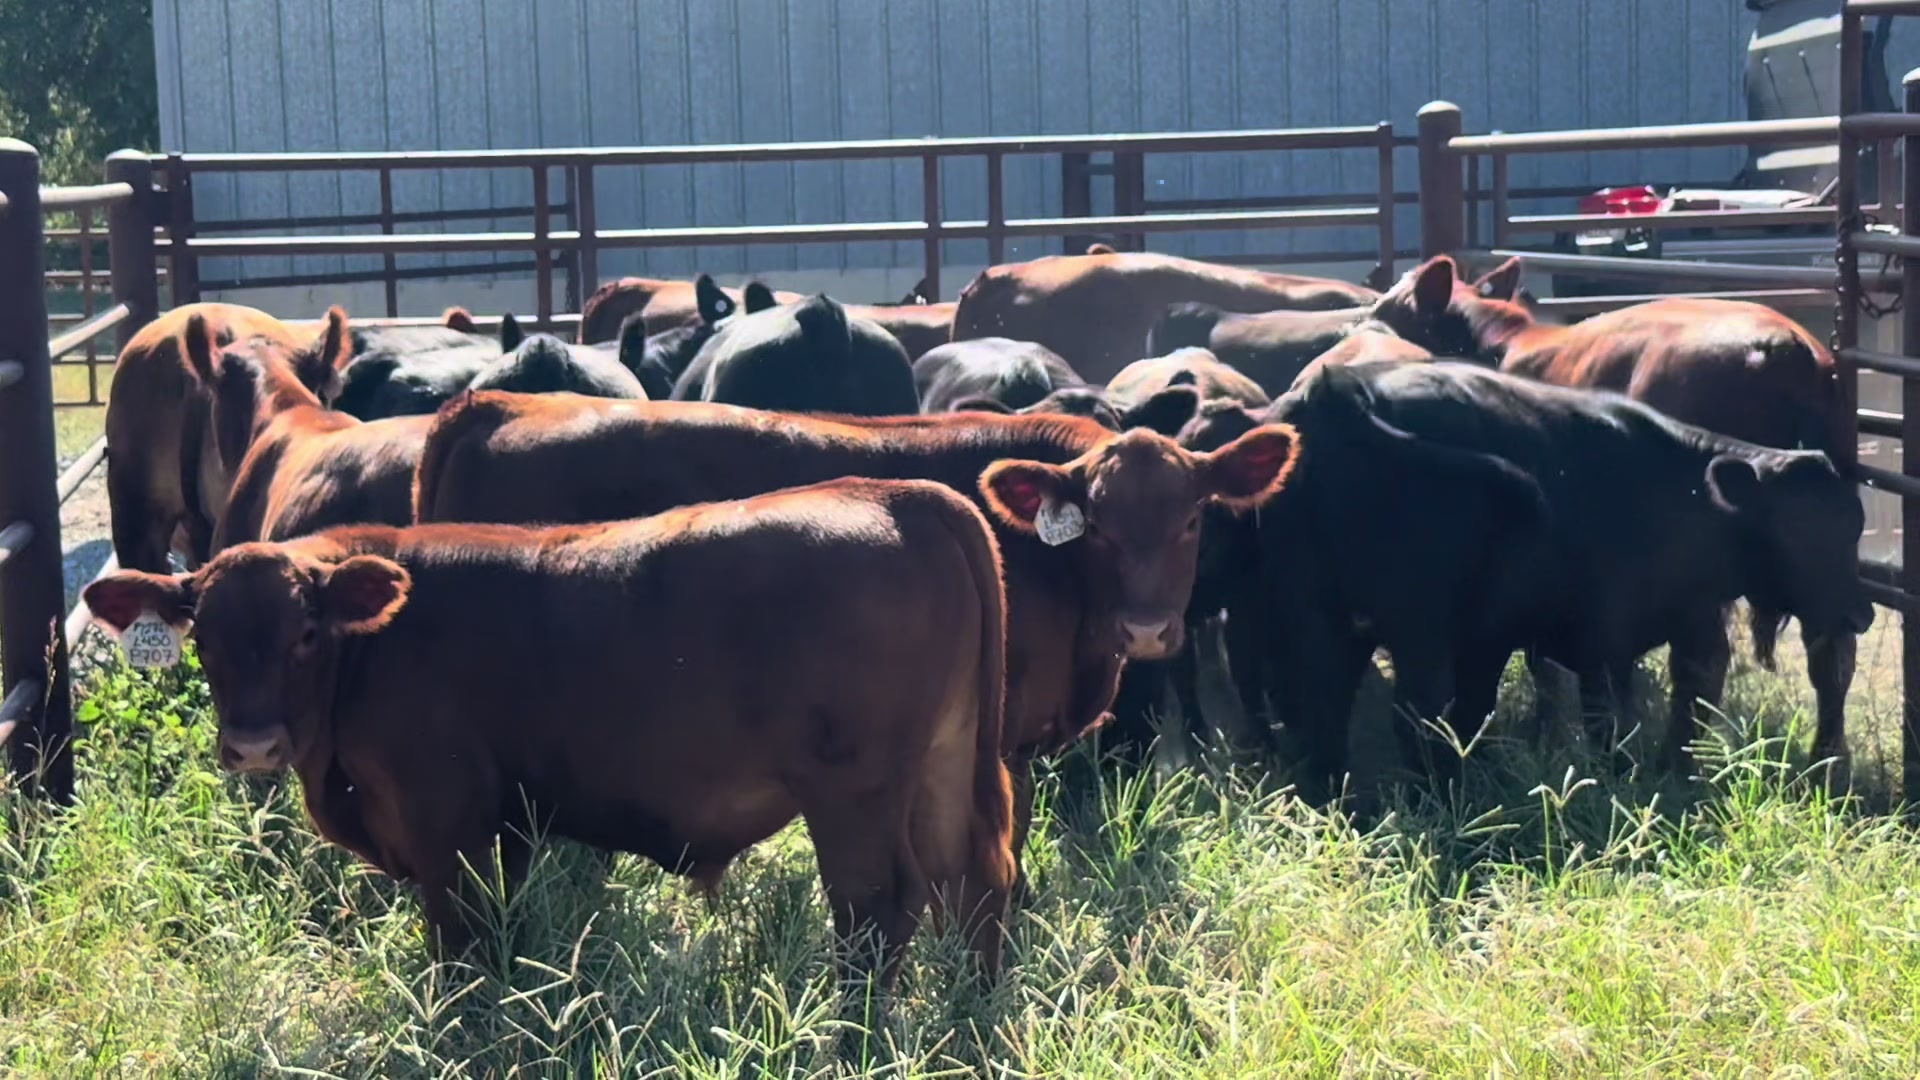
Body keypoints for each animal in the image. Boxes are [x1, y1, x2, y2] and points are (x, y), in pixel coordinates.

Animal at [81, 476, 1018, 985]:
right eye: (202, 637)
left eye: (305, 632)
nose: (252, 745)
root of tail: (892, 494)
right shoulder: (509, 823)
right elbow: (505, 929)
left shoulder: (445, 819)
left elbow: (458, 942)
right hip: (945, 766)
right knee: (975, 881)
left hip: (851, 792)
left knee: (878, 907)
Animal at [1374, 254, 1864, 764]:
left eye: (1390, 311)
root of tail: (1785, 348)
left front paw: (1548, 733)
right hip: (1828, 553)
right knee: (1833, 649)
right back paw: (1826, 762)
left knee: (1703, 658)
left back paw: (1676, 759)